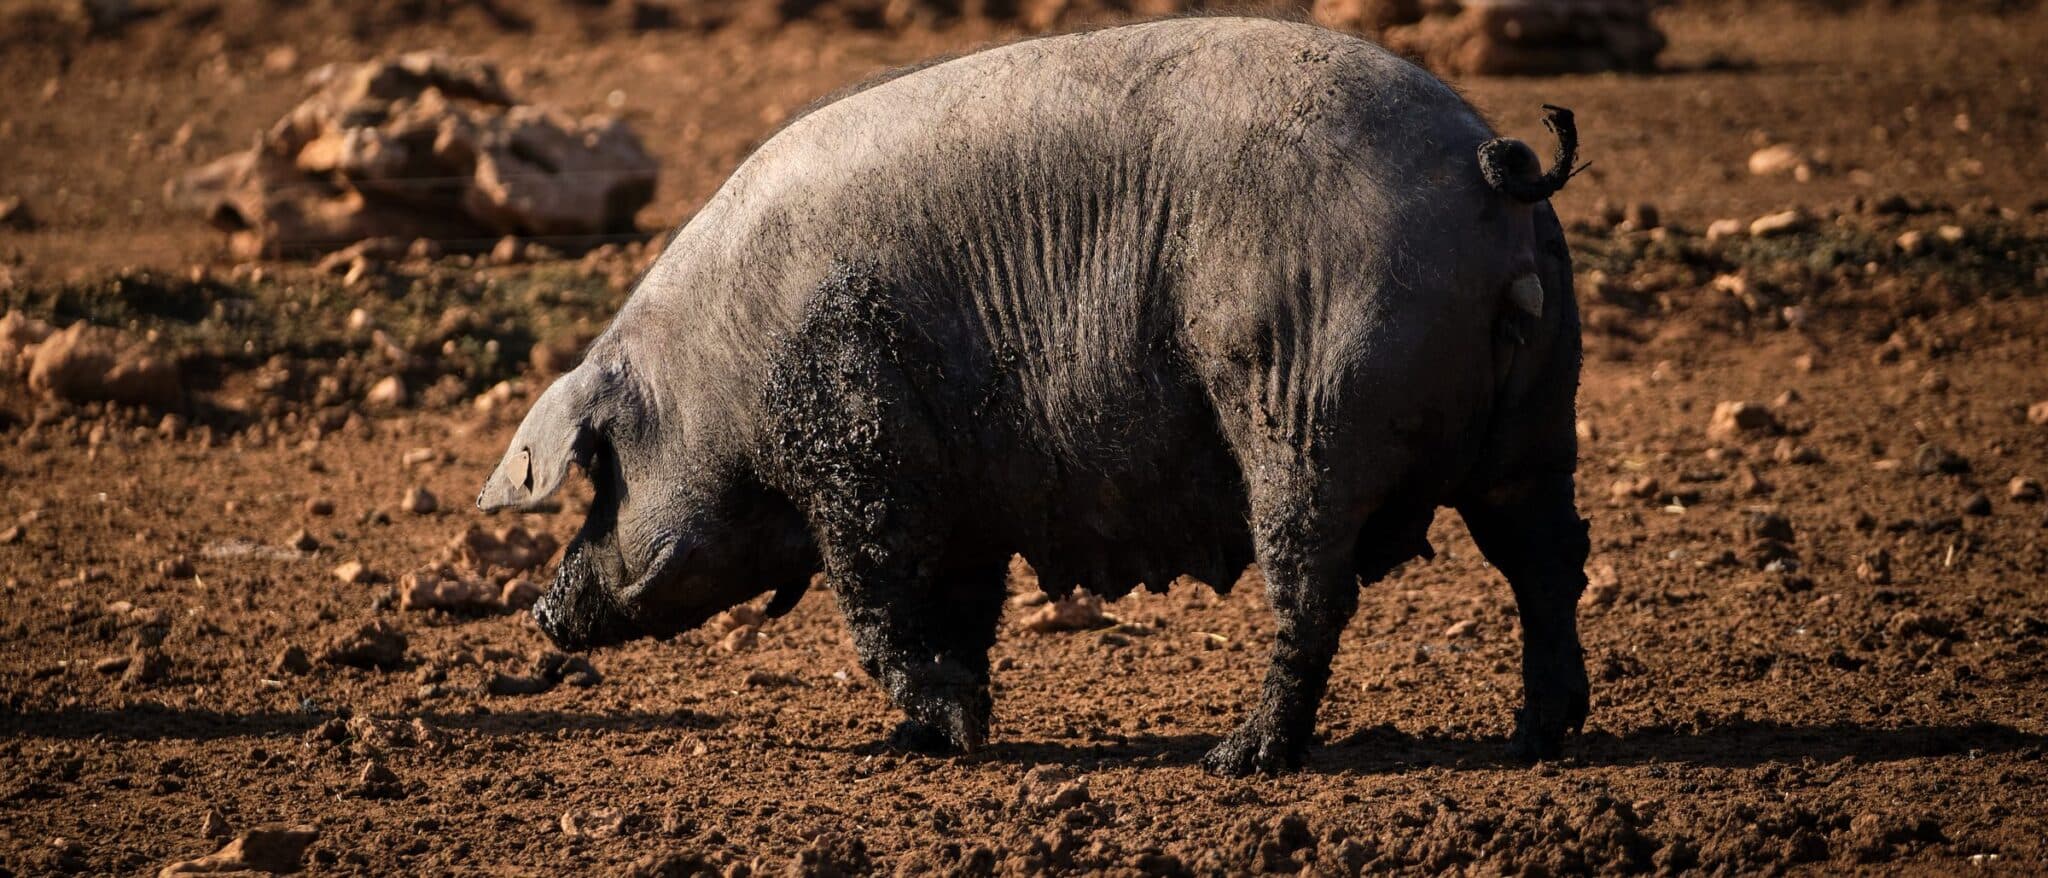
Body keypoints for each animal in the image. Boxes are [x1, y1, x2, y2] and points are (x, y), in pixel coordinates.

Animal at [478, 16, 1590, 775]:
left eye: (601, 474)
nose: (540, 609)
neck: (719, 368)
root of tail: (1484, 167)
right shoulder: (961, 497)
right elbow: (965, 614)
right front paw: (921, 740)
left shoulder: (860, 455)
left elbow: (881, 608)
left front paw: (947, 735)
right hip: (1538, 412)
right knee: (1545, 561)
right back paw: (1537, 737)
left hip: (1306, 405)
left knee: (1316, 587)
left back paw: (1237, 757)